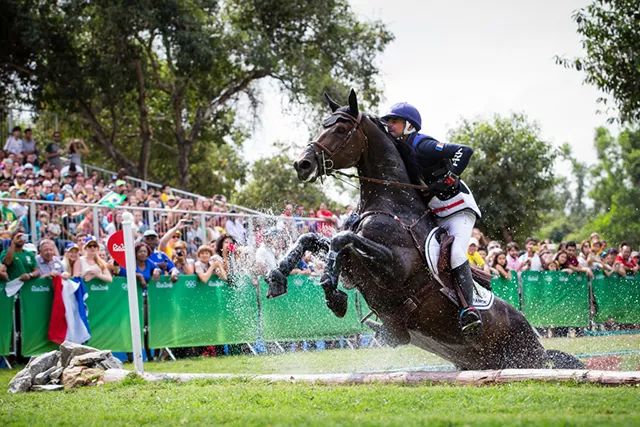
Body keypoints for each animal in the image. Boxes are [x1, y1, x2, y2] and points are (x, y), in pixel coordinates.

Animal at [264, 90, 580, 372]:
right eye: (323, 125)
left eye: (341, 129)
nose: (302, 164)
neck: (390, 202)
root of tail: (536, 340)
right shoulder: (355, 267)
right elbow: (312, 239)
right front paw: (277, 277)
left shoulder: (394, 267)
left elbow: (341, 240)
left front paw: (333, 294)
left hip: (524, 357)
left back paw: (472, 318)